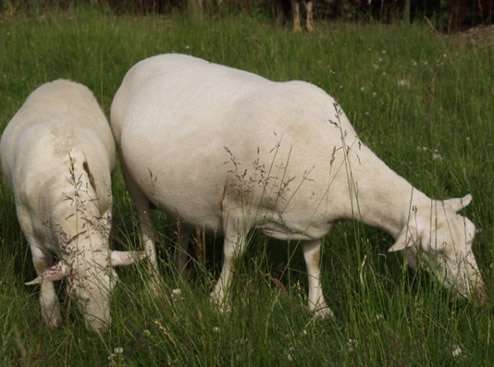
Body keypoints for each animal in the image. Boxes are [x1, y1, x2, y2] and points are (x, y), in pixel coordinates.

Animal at [0, 80, 143, 334]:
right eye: (75, 294)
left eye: (113, 286)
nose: (101, 331)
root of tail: (60, 82)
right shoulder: (27, 223)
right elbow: (41, 266)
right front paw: (50, 313)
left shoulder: (105, 212)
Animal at [111, 54, 486, 316]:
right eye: (437, 251)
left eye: (470, 237)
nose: (481, 298)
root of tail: (141, 64)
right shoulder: (238, 206)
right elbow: (233, 256)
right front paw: (220, 303)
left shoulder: (313, 219)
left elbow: (314, 261)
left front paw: (319, 309)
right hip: (132, 179)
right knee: (147, 230)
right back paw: (156, 284)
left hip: (182, 191)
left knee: (184, 225)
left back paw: (181, 271)